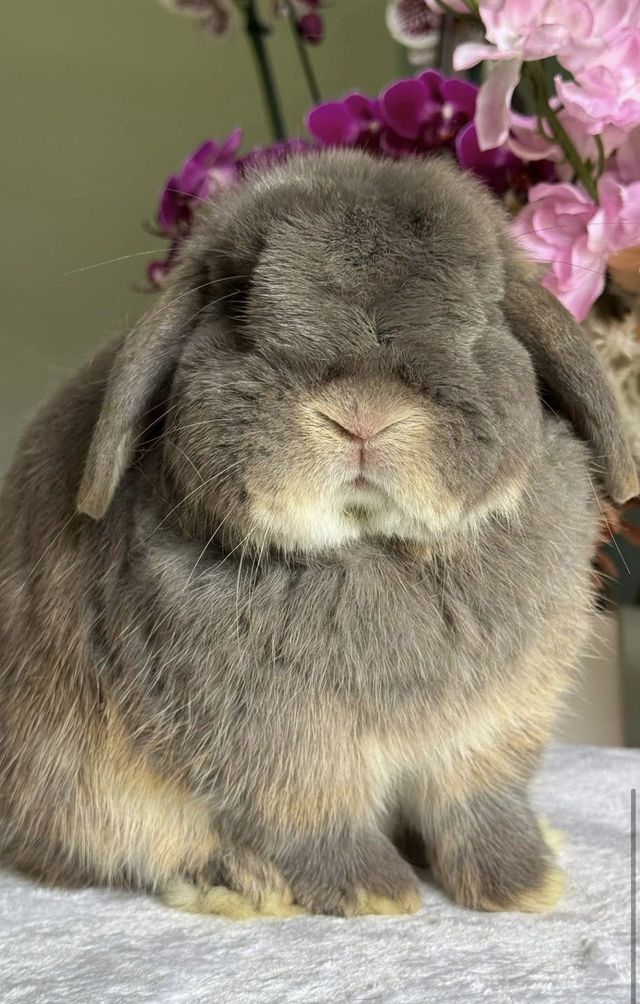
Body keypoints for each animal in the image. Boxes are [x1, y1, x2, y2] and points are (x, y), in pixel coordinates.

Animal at [0, 149, 637, 921]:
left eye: (485, 313)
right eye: (236, 301)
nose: (361, 416)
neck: (369, 546)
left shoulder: (495, 724)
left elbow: (481, 805)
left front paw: (523, 883)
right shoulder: (281, 742)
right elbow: (314, 818)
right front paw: (376, 893)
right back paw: (234, 880)